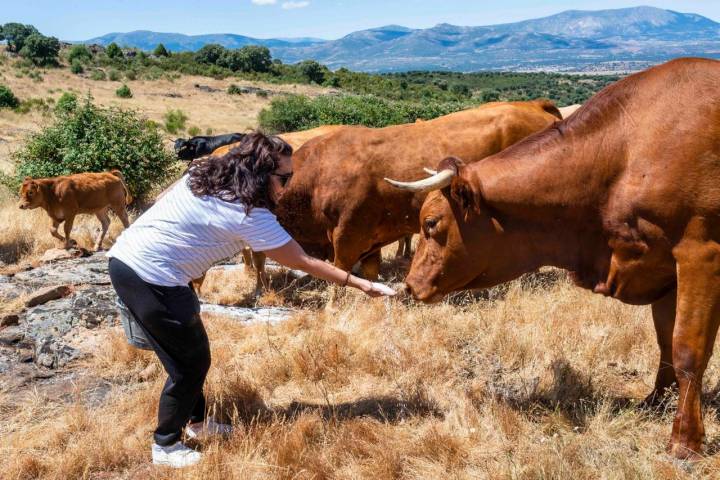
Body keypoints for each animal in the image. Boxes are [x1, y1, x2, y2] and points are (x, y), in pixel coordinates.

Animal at [386, 58, 720, 460]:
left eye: (431, 222)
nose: (410, 285)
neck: (624, 155)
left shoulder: (700, 256)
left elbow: (688, 349)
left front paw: (685, 439)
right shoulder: (662, 272)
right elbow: (666, 342)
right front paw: (655, 402)